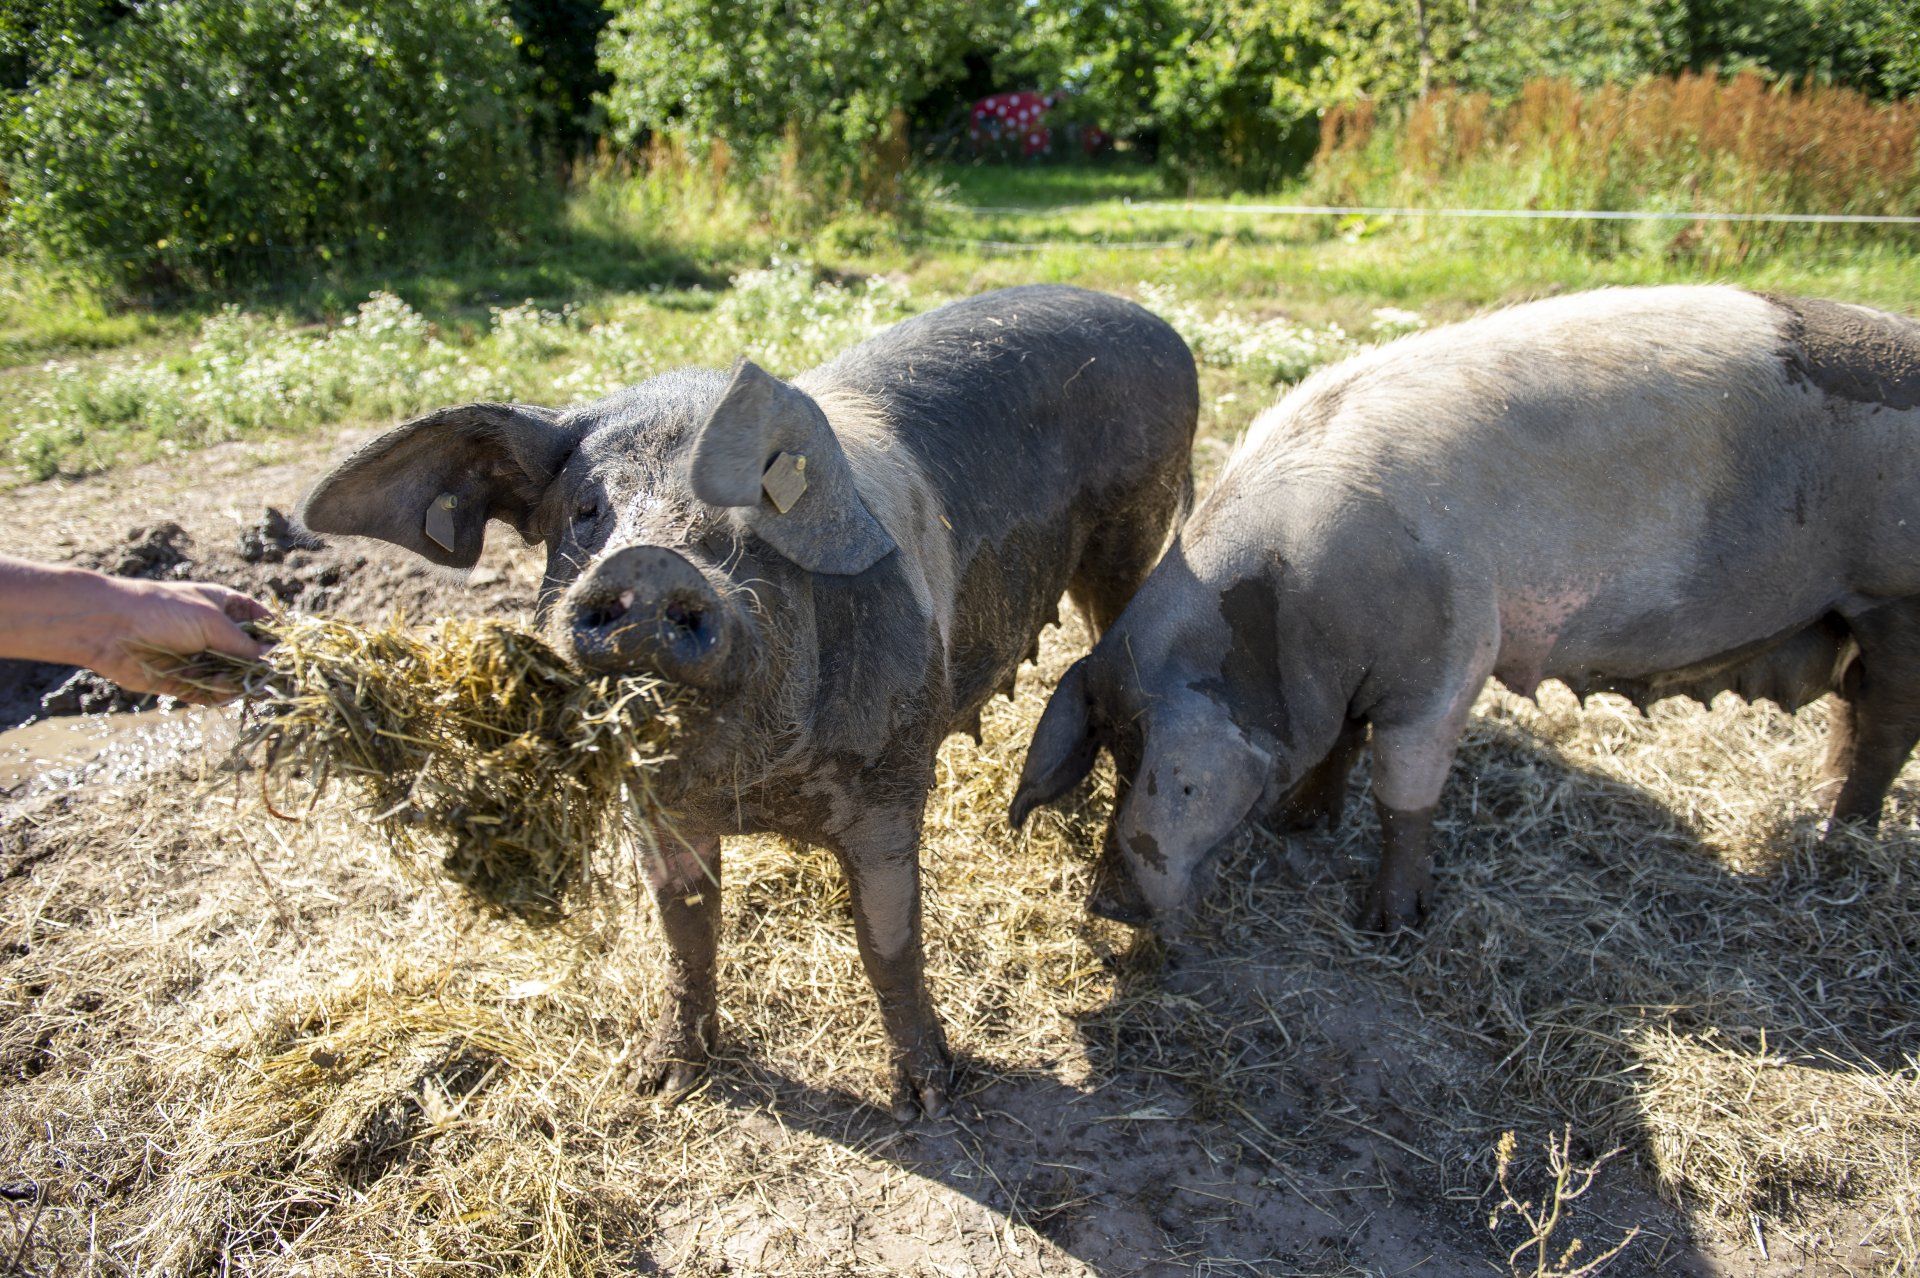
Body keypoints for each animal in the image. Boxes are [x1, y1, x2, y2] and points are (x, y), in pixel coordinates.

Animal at [300, 285, 1198, 1117]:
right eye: (588, 511)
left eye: (759, 510)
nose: (650, 565)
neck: (754, 786)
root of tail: (1156, 325)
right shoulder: (652, 802)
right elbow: (686, 930)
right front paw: (660, 1084)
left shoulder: (892, 777)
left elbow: (889, 941)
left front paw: (928, 1101)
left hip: (1134, 527)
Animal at [1010, 285, 1920, 936]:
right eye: (1111, 750)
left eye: (1165, 772)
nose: (1106, 905)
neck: (1289, 616)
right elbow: (1342, 743)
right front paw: (1302, 827)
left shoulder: (1449, 660)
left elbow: (1402, 792)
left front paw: (1391, 926)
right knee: (1856, 718)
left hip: (1895, 595)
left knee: (1883, 731)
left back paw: (1840, 843)